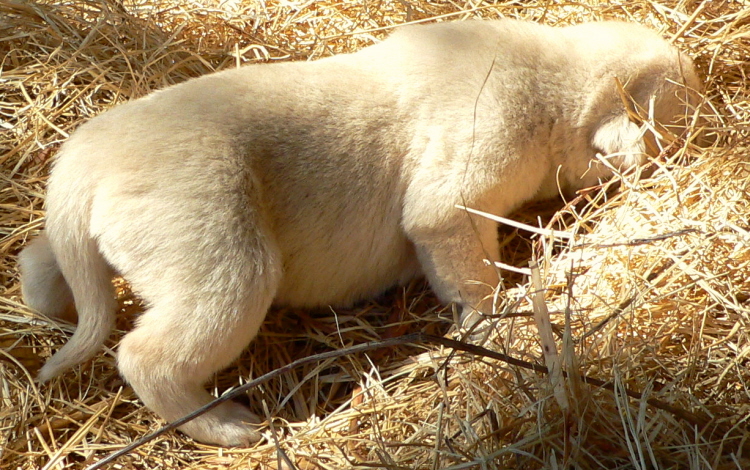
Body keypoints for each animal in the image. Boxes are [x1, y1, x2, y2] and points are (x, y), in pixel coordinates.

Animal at [20, 18, 708, 444]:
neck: (556, 84)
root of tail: (82, 167)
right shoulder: (465, 179)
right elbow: (460, 250)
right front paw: (492, 319)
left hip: (96, 237)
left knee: (45, 268)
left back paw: (51, 305)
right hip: (214, 242)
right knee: (149, 352)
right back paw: (231, 425)